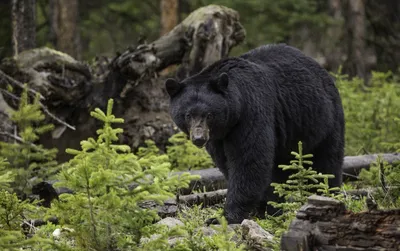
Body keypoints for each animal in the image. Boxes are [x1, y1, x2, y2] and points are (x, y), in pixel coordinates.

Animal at [164, 43, 346, 224]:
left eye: (209, 114)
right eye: (188, 115)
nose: (199, 138)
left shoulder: (251, 112)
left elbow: (248, 160)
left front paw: (225, 216)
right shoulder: (218, 138)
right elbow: (226, 163)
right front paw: (261, 207)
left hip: (323, 120)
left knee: (326, 163)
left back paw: (326, 195)